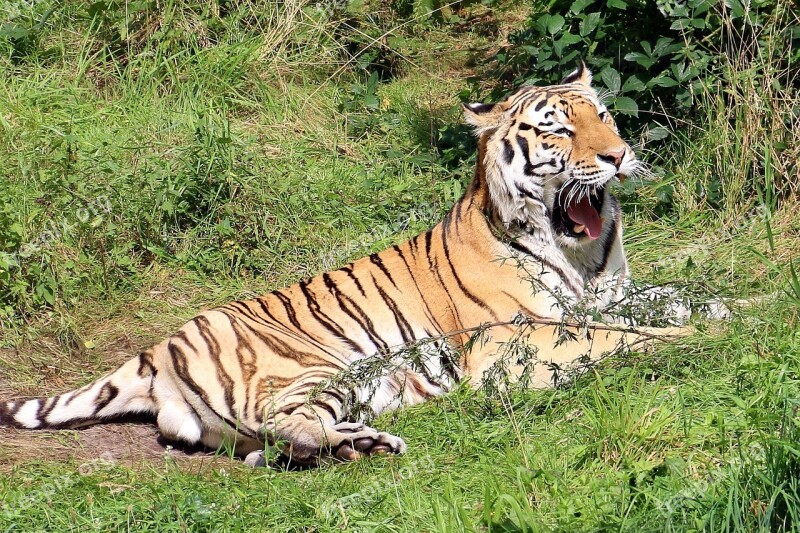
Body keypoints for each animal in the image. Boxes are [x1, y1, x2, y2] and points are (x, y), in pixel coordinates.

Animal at [0, 65, 696, 466]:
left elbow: (666, 298)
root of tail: (158, 348)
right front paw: (690, 337)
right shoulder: (508, 339)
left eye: (601, 116)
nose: (617, 155)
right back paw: (368, 444)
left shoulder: (611, 292)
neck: (576, 250)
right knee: (287, 426)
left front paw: (705, 310)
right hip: (315, 369)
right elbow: (616, 337)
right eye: (557, 132)